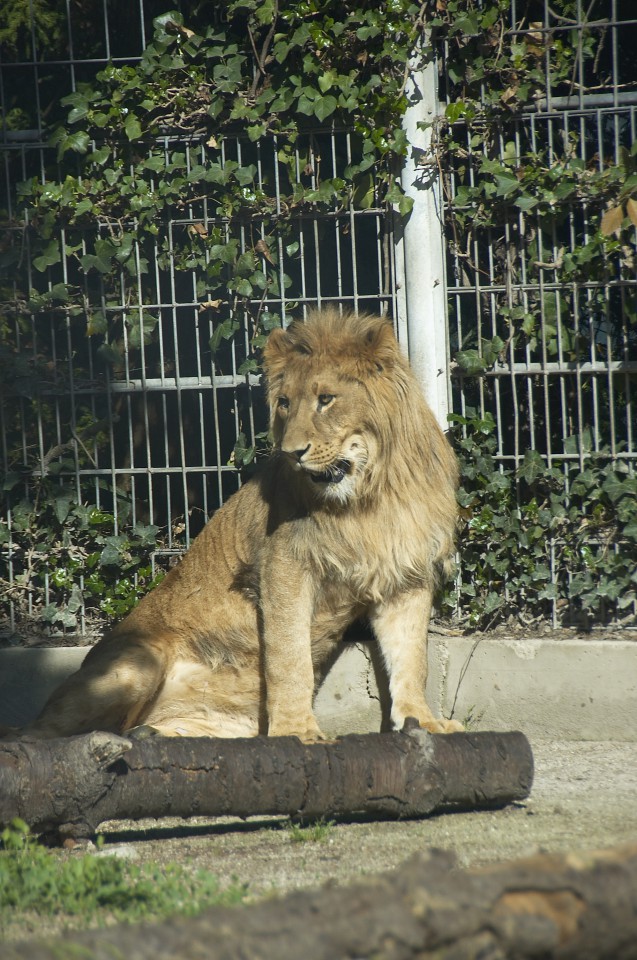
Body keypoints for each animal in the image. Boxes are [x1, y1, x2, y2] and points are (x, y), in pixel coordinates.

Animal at [17, 310, 460, 744]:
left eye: (326, 400)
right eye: (284, 403)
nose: (292, 453)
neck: (371, 496)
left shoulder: (406, 576)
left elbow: (412, 658)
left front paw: (422, 722)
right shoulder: (283, 565)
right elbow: (288, 656)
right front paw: (297, 730)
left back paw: (149, 735)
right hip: (138, 663)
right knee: (34, 734)